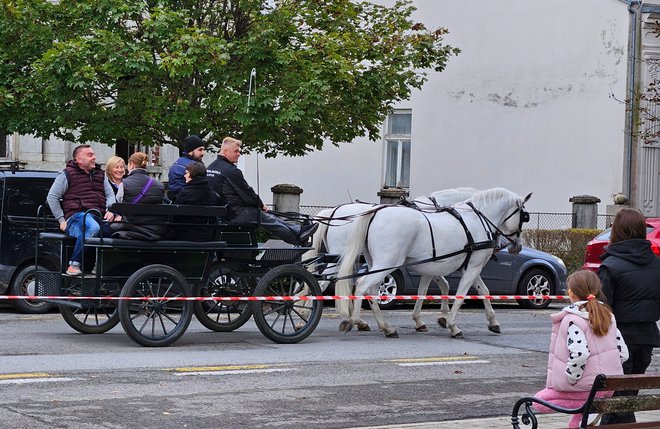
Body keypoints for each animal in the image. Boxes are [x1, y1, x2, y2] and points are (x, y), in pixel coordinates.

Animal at [336, 187, 532, 338]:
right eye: (524, 216)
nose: (516, 246)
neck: (477, 220)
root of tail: (376, 212)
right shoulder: (473, 267)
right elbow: (460, 295)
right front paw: (452, 325)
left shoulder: (465, 267)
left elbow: (482, 291)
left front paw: (493, 322)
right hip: (387, 263)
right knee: (362, 285)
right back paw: (354, 320)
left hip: (377, 264)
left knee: (371, 291)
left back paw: (386, 327)